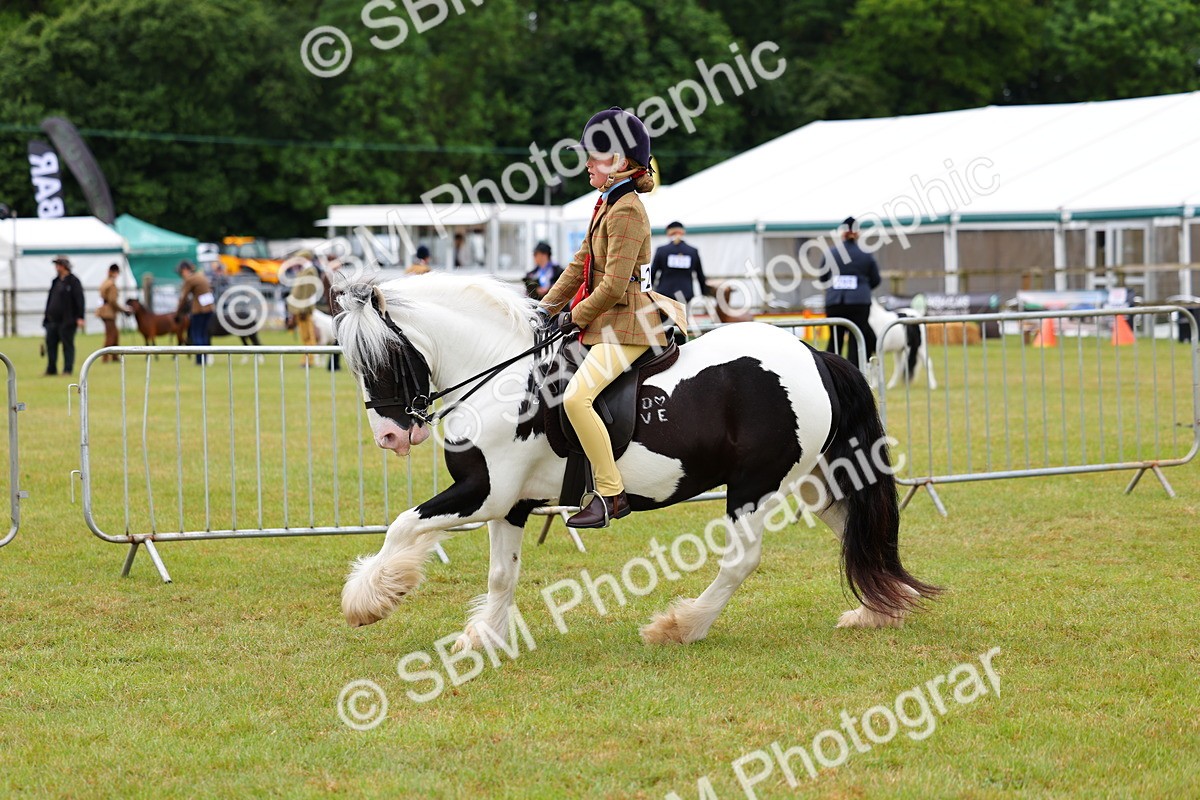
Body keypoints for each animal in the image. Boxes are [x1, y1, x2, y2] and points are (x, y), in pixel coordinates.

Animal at [335, 274, 938, 648]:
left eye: (382, 360)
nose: (389, 435)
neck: (505, 376)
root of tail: (814, 353)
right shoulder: (512, 504)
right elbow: (502, 573)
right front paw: (482, 637)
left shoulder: (486, 493)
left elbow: (403, 525)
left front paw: (370, 599)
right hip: (818, 480)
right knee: (858, 529)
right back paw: (881, 609)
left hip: (754, 486)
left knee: (742, 561)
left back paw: (680, 626)